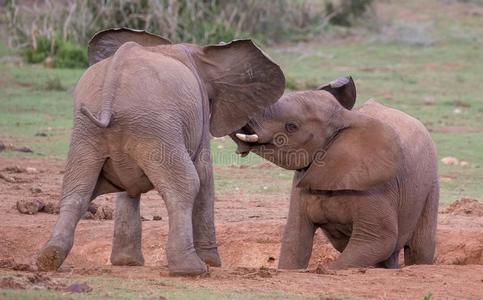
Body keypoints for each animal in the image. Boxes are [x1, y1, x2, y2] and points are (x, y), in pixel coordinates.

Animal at [37, 27, 288, 276]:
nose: (244, 146)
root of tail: (113, 84)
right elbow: (204, 175)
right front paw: (212, 263)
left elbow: (127, 192)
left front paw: (127, 263)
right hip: (156, 127)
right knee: (186, 185)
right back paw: (192, 269)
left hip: (88, 131)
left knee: (76, 191)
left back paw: (49, 259)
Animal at [233, 77, 440, 270]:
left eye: (291, 126)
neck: (344, 116)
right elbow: (295, 240)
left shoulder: (377, 184)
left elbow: (378, 240)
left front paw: (323, 270)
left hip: (430, 185)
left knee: (418, 248)